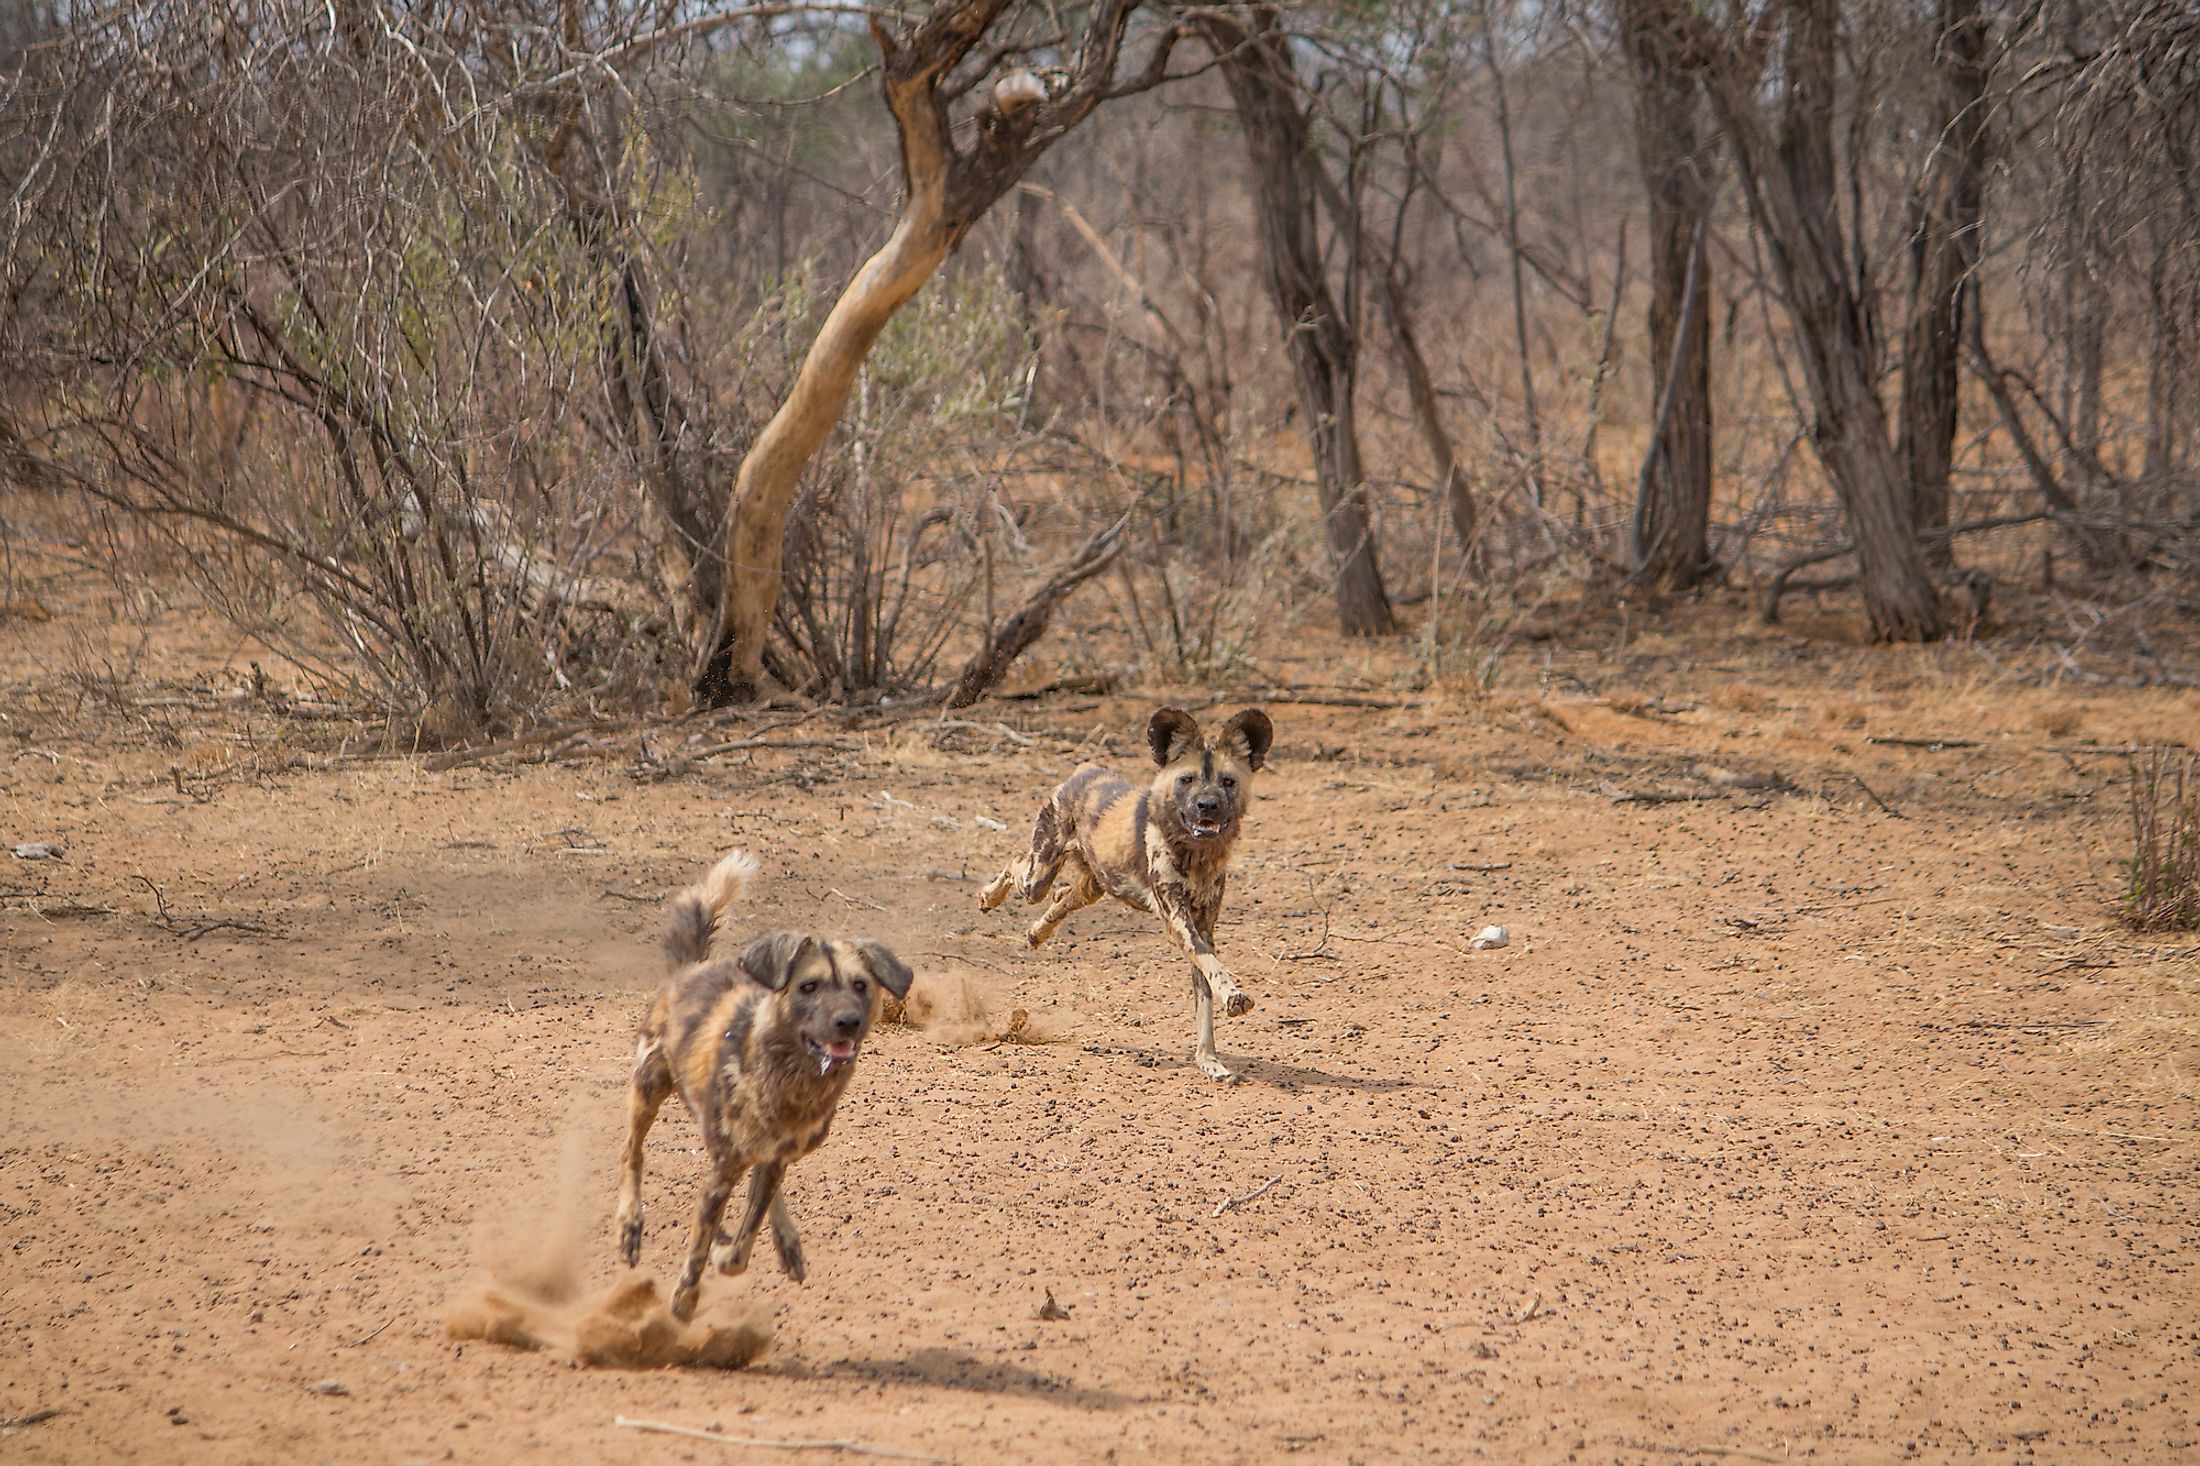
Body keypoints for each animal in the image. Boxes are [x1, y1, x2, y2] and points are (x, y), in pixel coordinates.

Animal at [611, 845, 910, 1311]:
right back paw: (630, 1225)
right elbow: (701, 1253)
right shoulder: (722, 1173)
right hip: (649, 1088)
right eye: (809, 987)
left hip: (775, 1152)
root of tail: (687, 972)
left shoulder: (769, 1160)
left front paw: (726, 1249)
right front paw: (683, 1303)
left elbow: (738, 1250)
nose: (848, 1022)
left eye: (860, 986)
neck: (792, 1086)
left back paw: (784, 1243)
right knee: (632, 1152)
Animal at [981, 704, 1276, 1078]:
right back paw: (989, 897)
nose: (1207, 805)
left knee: (1062, 897)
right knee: (1018, 862)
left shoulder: (1203, 927)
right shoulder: (1179, 923)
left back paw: (1036, 934)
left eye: (1228, 782)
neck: (1196, 854)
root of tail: (1086, 771)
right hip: (1039, 875)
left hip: (1094, 885)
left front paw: (1209, 1060)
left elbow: (1205, 995)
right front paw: (1234, 998)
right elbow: (1213, 968)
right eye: (1187, 780)